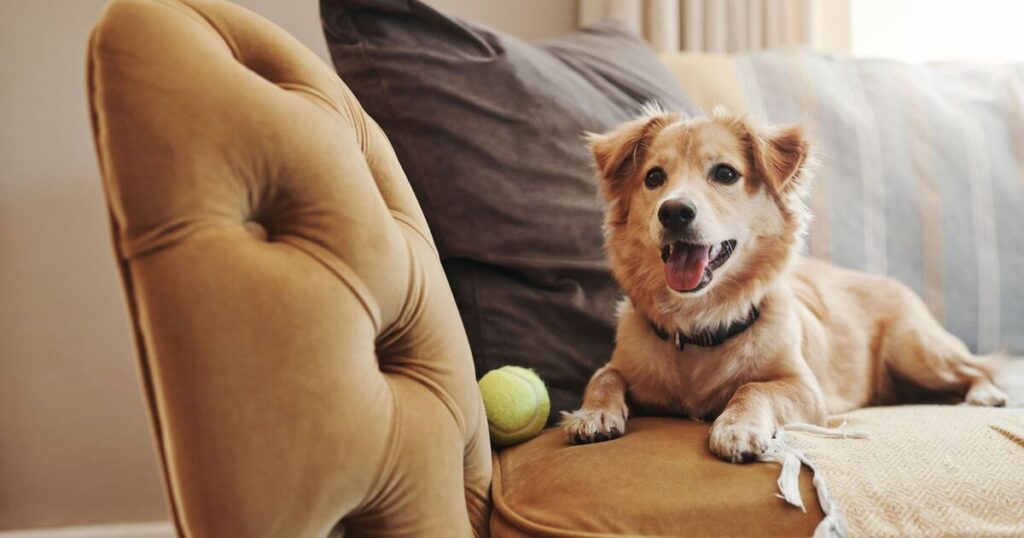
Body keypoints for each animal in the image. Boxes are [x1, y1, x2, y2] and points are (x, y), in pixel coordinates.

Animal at [561, 106, 1007, 461]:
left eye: (725, 173)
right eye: (654, 177)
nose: (673, 211)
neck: (701, 324)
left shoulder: (805, 389)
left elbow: (753, 388)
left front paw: (737, 427)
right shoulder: (622, 365)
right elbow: (604, 376)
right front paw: (592, 413)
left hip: (916, 349)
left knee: (976, 368)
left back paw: (984, 393)